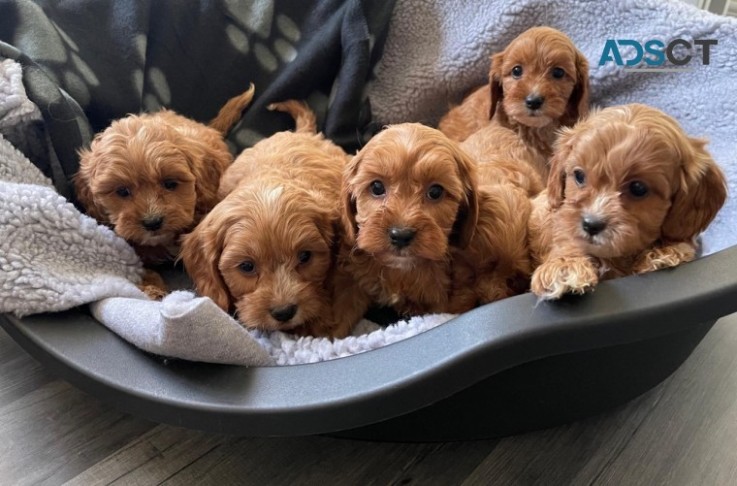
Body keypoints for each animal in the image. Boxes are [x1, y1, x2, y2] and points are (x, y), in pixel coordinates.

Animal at [528, 103, 724, 300]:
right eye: (579, 175)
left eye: (638, 188)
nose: (591, 225)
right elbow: (566, 240)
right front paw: (564, 267)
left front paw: (664, 252)